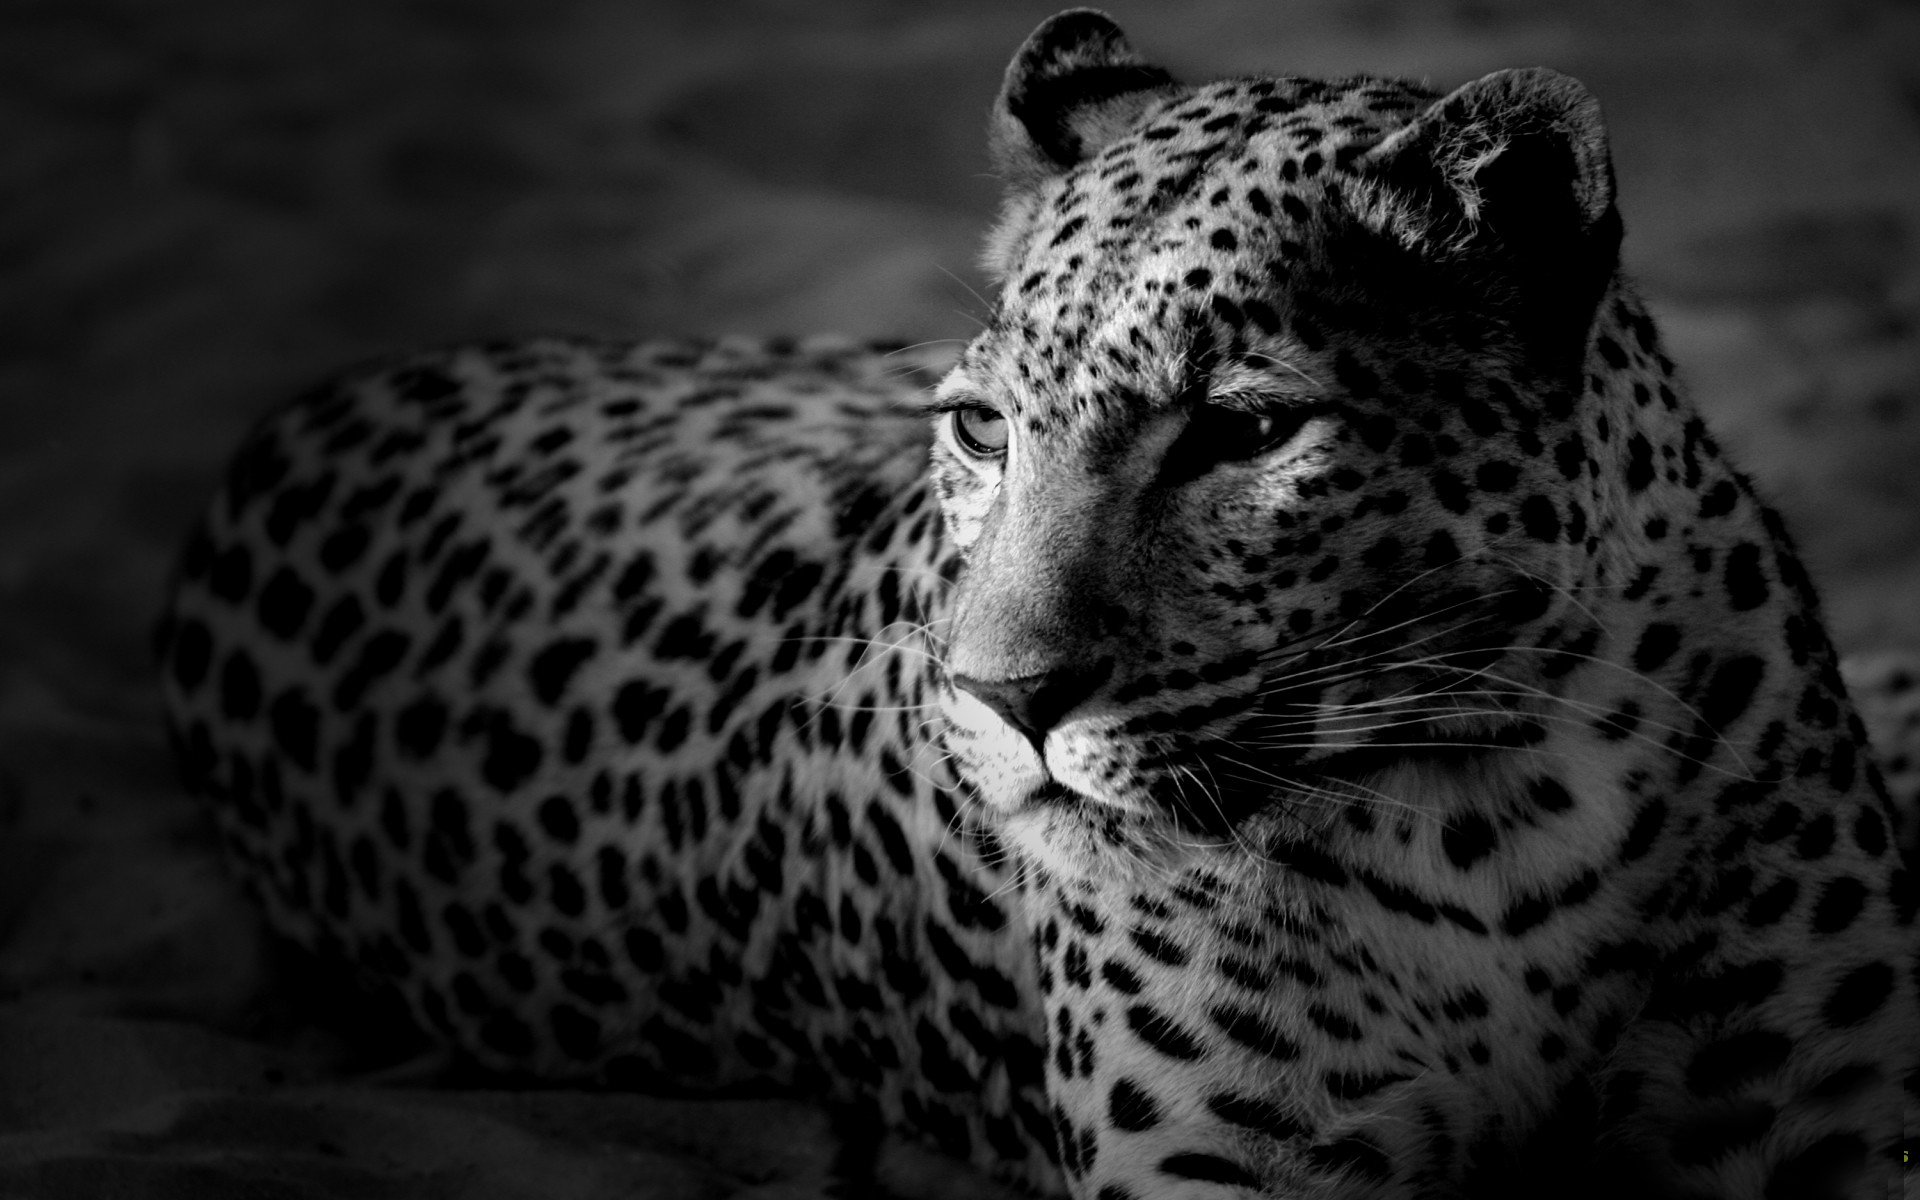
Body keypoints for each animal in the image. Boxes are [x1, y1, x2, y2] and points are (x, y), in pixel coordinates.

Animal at [157, 10, 1918, 1199]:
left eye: (1244, 434)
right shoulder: (1229, 1173)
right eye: (981, 428)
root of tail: (303, 415)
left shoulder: (1831, 1116)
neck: (1496, 812)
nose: (1004, 703)